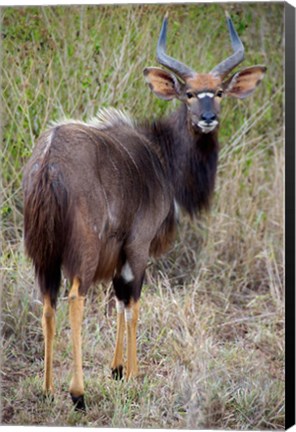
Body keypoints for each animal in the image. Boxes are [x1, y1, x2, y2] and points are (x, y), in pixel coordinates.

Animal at [23, 12, 266, 412]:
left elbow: (120, 299)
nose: (208, 118)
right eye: (188, 93)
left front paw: (117, 369)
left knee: (47, 302)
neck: (160, 155)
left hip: (43, 255)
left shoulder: (120, 252)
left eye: (218, 91)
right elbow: (133, 303)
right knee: (75, 298)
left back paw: (46, 389)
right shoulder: (138, 244)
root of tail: (48, 162)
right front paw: (133, 374)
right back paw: (77, 393)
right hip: (83, 250)